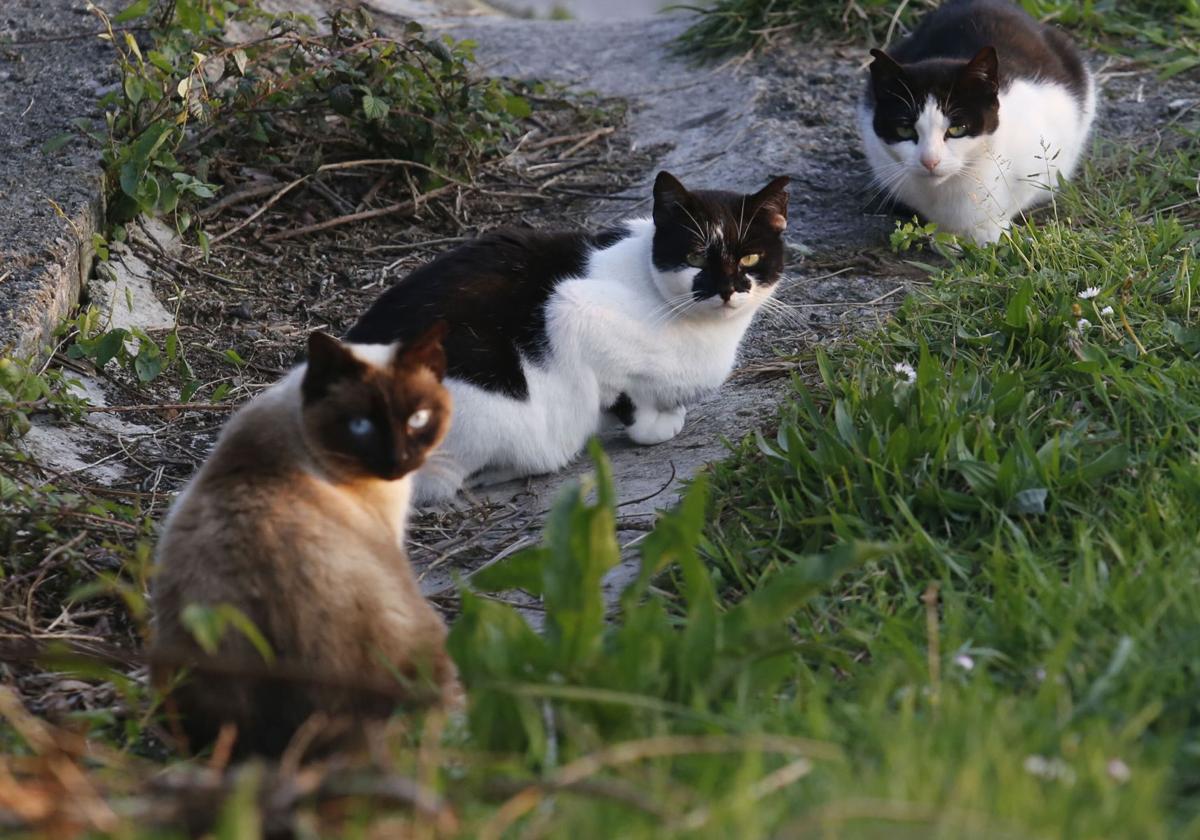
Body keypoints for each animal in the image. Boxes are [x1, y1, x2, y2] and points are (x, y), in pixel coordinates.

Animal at [348, 166, 792, 501]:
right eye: (696, 256)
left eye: (749, 258)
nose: (727, 289)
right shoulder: (571, 311)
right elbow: (625, 395)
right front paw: (653, 424)